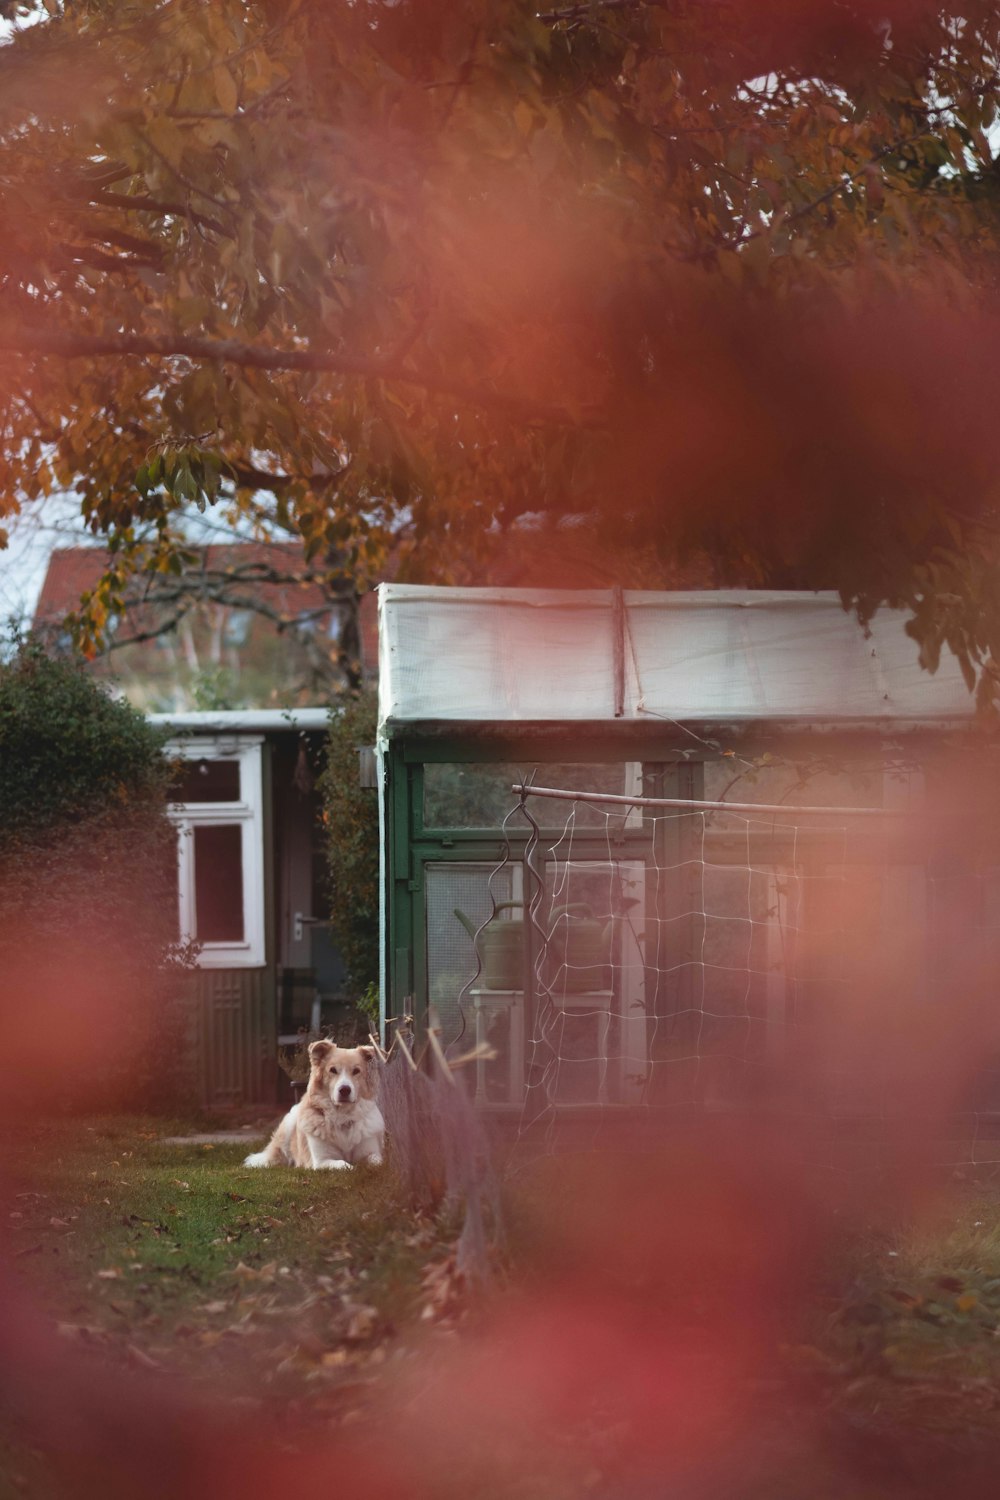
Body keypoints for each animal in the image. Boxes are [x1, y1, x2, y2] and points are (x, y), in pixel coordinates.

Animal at [242, 1044, 383, 1170]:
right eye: (333, 1070)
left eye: (356, 1071)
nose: (344, 1090)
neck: (342, 1116)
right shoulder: (321, 1161)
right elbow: (343, 1164)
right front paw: (352, 1167)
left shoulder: (371, 1152)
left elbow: (378, 1161)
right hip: (288, 1126)